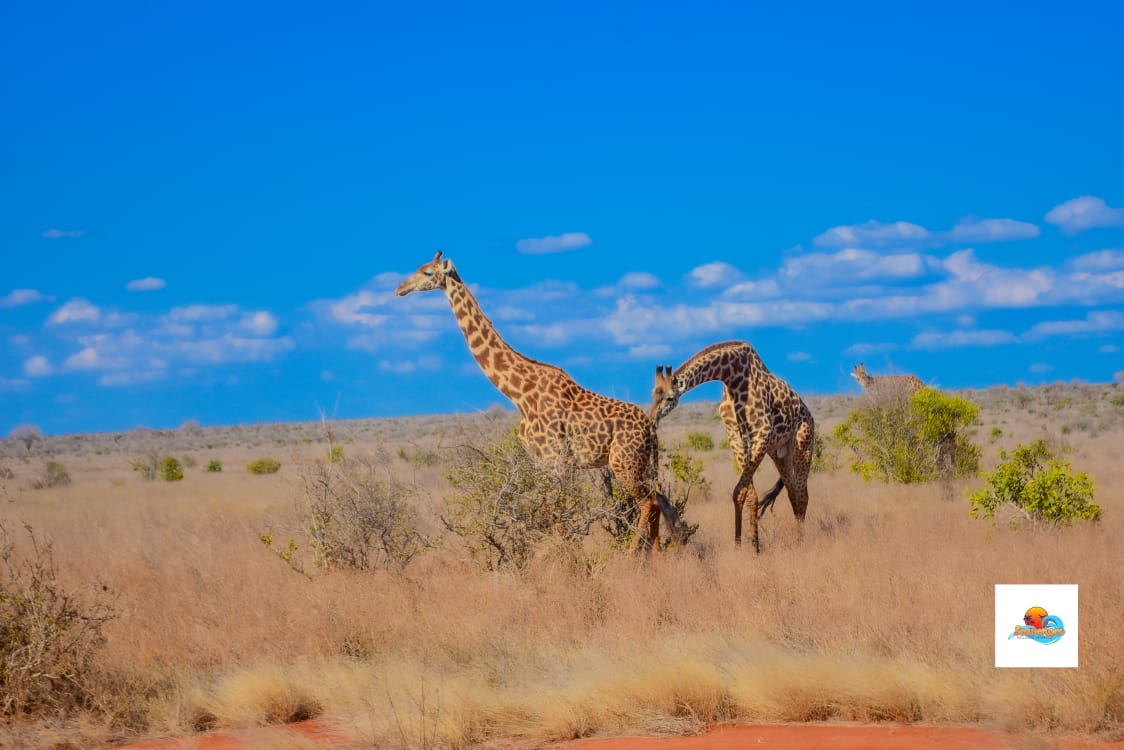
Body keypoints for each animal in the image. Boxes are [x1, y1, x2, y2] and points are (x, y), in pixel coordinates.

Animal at [396, 251, 677, 550]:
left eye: (427, 272)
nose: (400, 288)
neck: (520, 393)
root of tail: (650, 429)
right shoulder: (540, 459)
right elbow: (551, 511)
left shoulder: (558, 459)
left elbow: (561, 512)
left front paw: (566, 556)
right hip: (641, 463)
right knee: (657, 498)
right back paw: (656, 554)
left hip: (623, 463)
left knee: (647, 501)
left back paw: (633, 553)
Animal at [650, 340, 814, 553]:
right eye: (652, 394)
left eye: (670, 397)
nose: (652, 419)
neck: (732, 377)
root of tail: (809, 414)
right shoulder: (735, 436)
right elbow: (746, 493)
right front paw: (742, 547)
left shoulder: (762, 434)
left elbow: (740, 490)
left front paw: (753, 549)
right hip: (780, 453)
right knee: (792, 491)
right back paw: (797, 536)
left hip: (803, 444)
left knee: (803, 494)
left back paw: (802, 541)